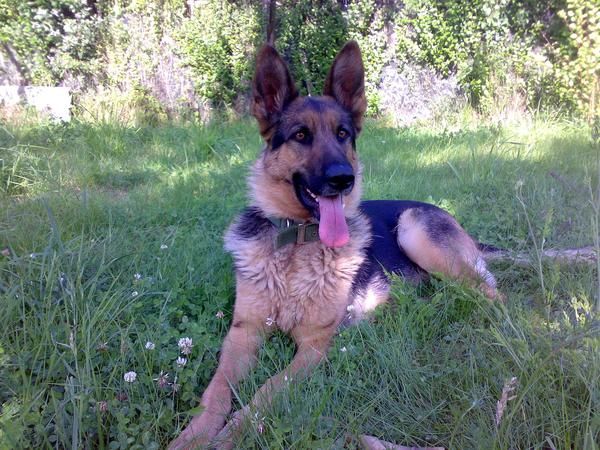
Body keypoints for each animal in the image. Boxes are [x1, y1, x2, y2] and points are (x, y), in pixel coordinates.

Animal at [168, 40, 496, 448]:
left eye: (343, 134)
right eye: (300, 136)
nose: (344, 178)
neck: (296, 247)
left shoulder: (313, 347)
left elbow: (264, 392)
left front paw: (230, 437)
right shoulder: (243, 334)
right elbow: (214, 392)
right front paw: (193, 435)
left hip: (414, 229)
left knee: (490, 292)